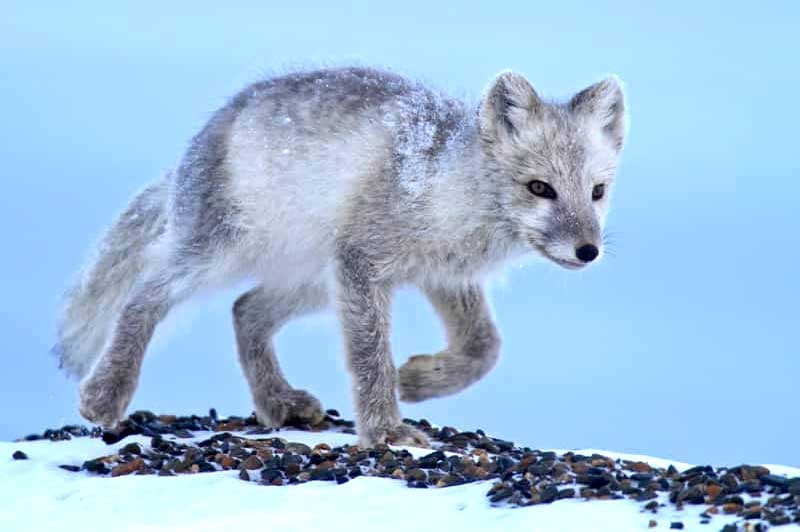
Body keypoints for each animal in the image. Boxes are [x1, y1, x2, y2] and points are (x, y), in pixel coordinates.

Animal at [54, 67, 624, 448]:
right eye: (539, 188)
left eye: (596, 192)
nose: (589, 251)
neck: (445, 181)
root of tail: (194, 148)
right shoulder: (363, 264)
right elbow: (370, 357)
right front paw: (387, 430)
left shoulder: (443, 274)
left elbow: (485, 347)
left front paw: (417, 380)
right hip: (219, 254)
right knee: (144, 298)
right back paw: (105, 395)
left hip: (313, 282)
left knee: (245, 310)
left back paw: (278, 403)